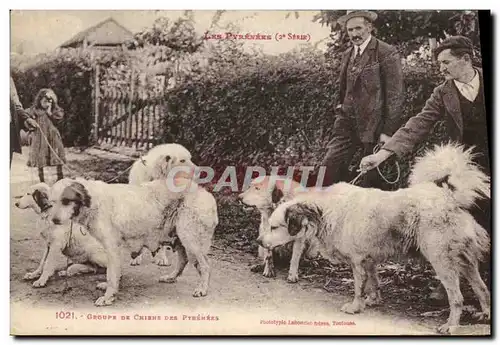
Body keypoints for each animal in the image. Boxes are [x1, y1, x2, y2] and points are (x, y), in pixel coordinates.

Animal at [49, 176, 219, 306]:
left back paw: (202, 289)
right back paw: (171, 277)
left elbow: (112, 274)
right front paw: (108, 288)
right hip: (179, 237)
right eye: (52, 203)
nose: (54, 220)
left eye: (66, 201)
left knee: (205, 265)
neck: (93, 202)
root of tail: (205, 192)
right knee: (183, 260)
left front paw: (108, 296)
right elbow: (113, 273)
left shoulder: (112, 247)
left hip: (190, 238)